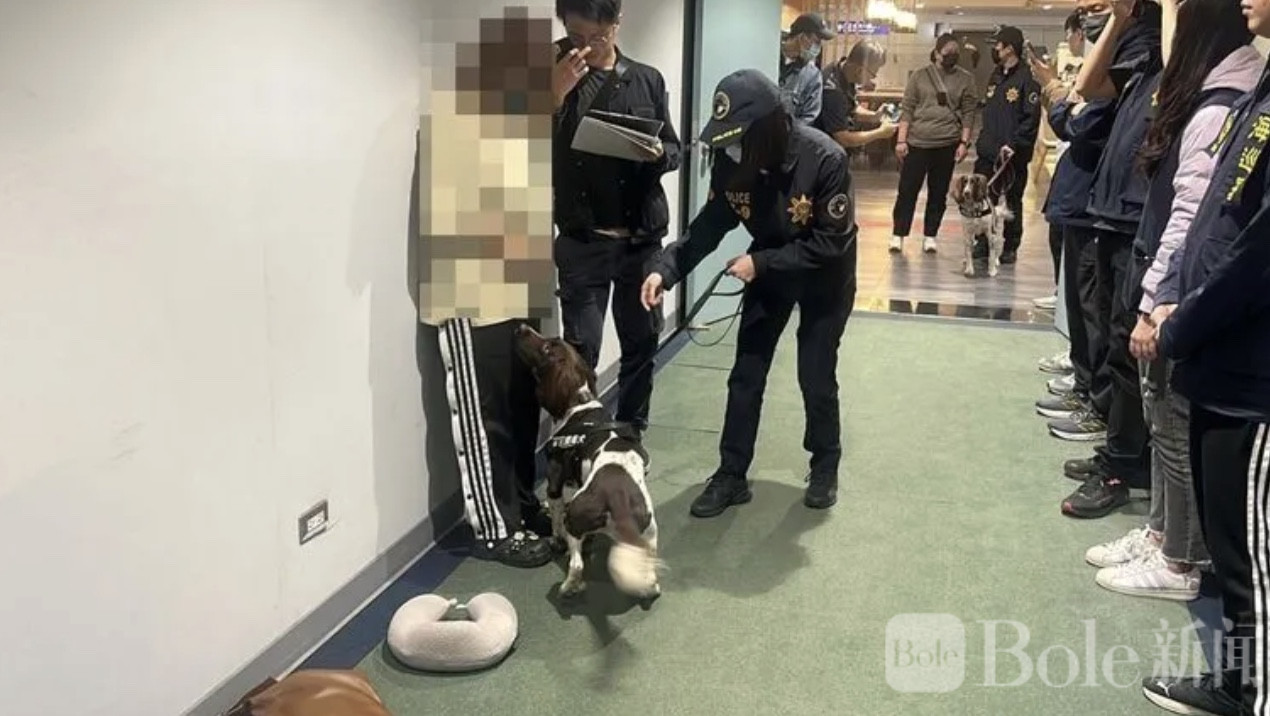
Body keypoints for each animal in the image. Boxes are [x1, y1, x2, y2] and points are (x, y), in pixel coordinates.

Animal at [513, 324, 662, 604]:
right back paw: (650, 587)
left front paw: (555, 539)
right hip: (649, 533)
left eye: (547, 347)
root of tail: (618, 500)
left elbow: (556, 519)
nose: (522, 327)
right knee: (648, 571)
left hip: (576, 514)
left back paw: (569, 587)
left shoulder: (554, 482)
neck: (580, 404)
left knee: (577, 564)